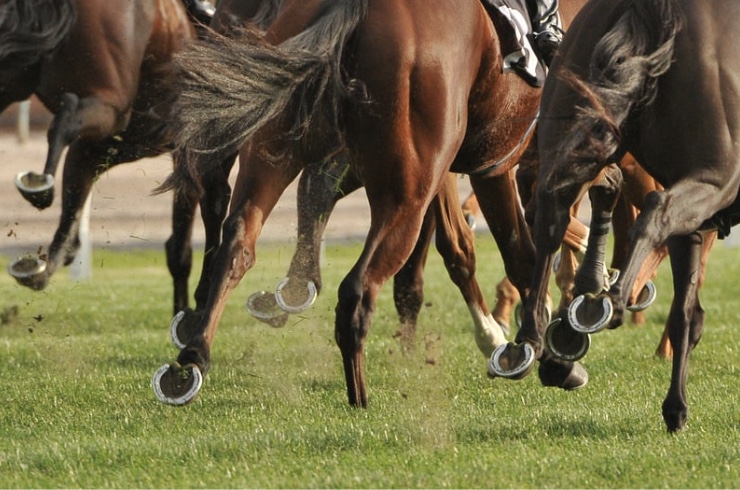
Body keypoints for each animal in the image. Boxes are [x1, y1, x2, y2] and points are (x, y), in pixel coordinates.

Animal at [151, 0, 598, 406]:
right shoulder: (494, 165)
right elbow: (518, 253)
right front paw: (543, 353)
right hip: (407, 192)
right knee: (358, 287)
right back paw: (359, 395)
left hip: (275, 150)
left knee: (238, 242)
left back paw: (191, 361)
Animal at [493, 0, 736, 432]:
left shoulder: (691, 225)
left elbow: (685, 315)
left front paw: (675, 407)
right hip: (715, 175)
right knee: (655, 211)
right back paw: (605, 303)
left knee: (550, 214)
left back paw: (540, 340)